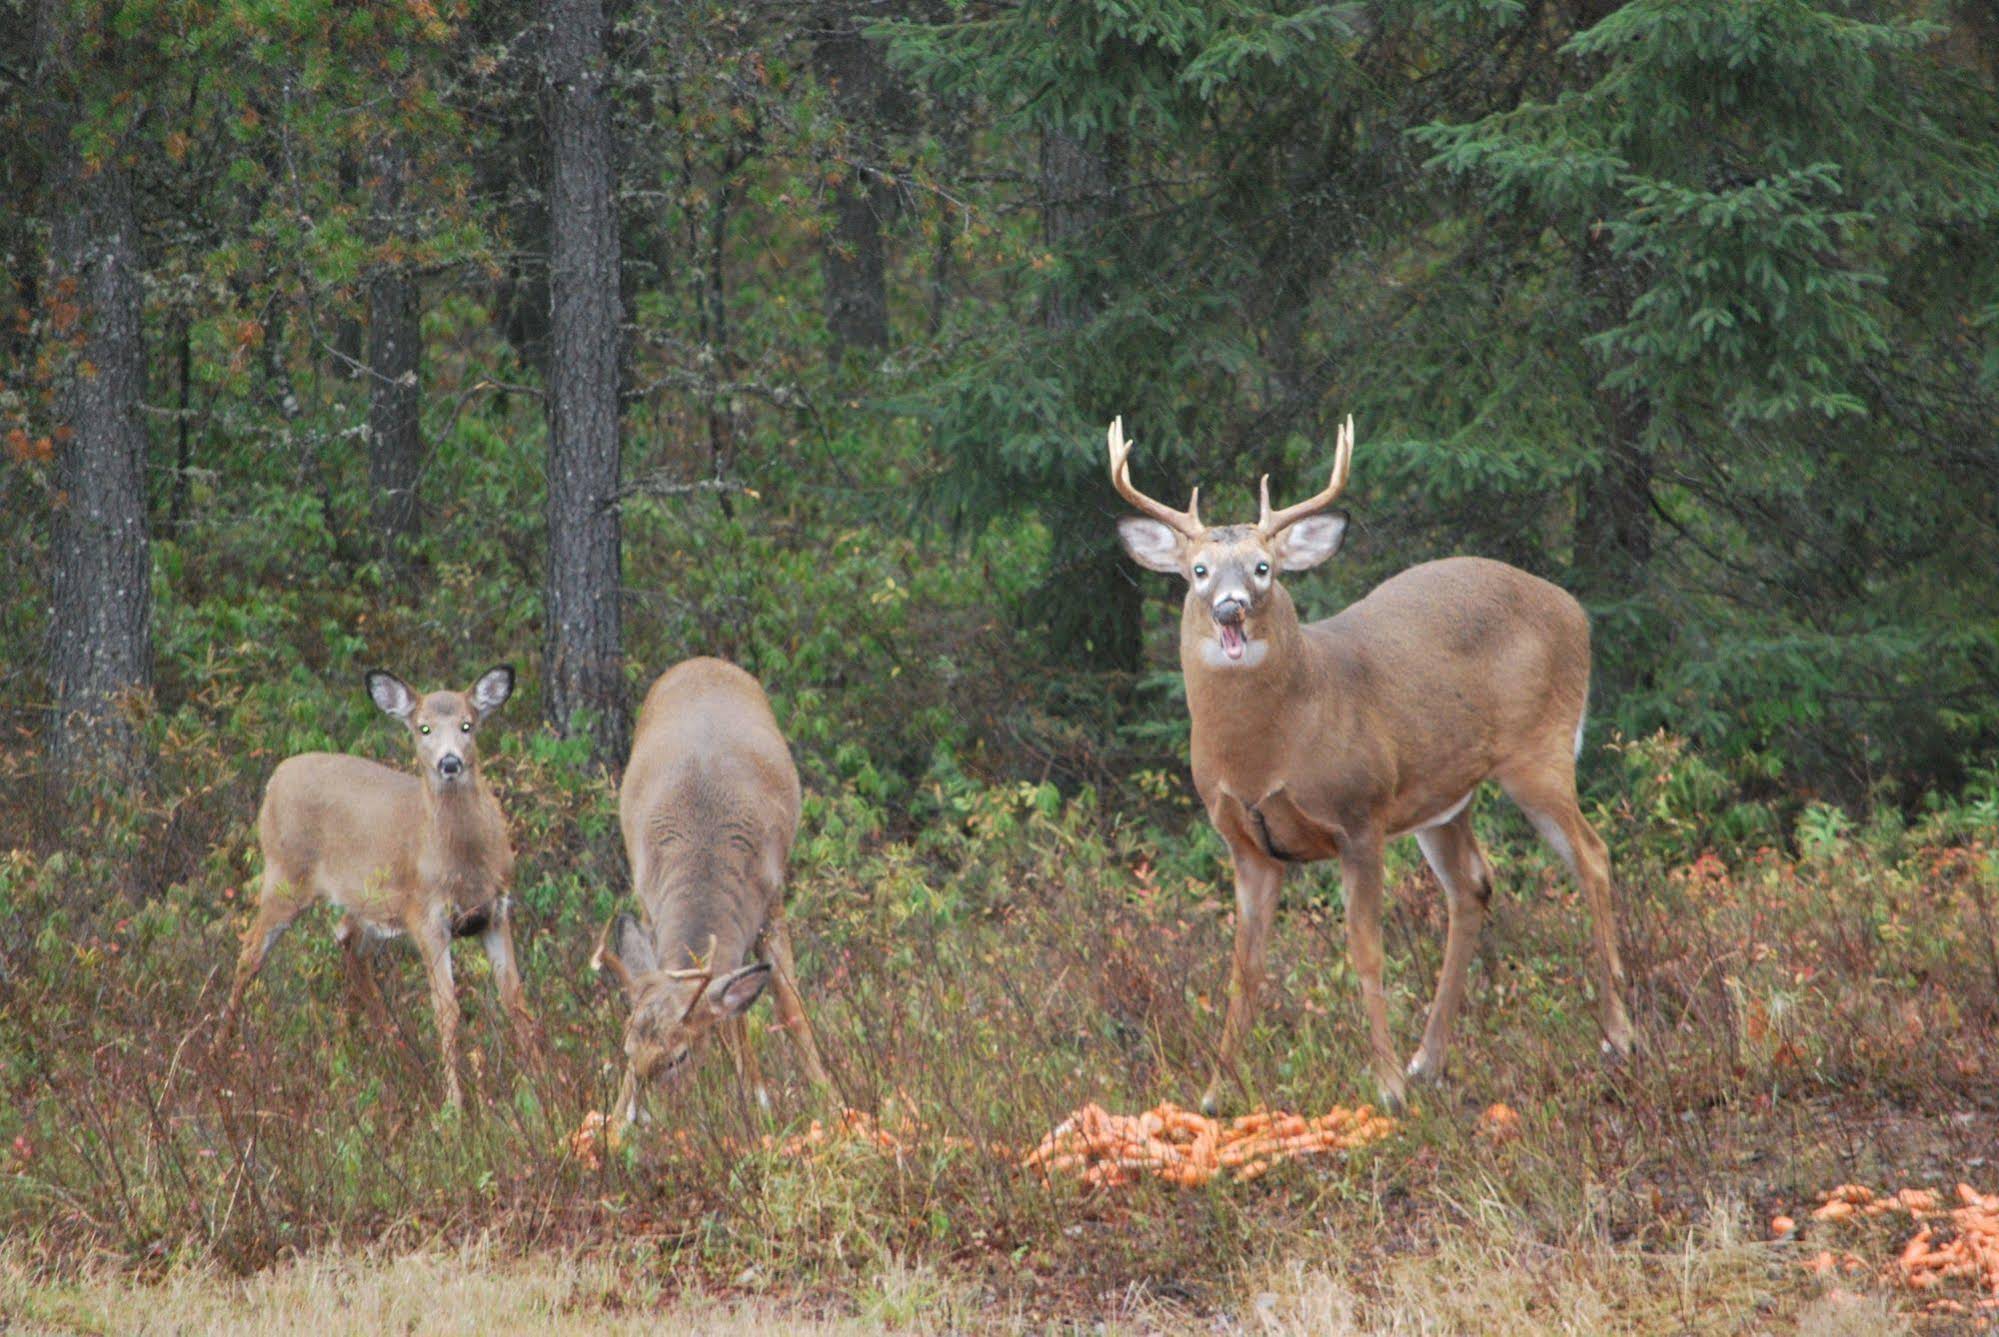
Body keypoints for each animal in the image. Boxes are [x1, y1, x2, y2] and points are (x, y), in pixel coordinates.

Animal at [212, 659, 531, 1103]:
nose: (449, 763)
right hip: (284, 876)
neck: (465, 866)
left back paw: (394, 1058)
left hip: (368, 908)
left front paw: (543, 1084)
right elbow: (446, 1010)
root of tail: (276, 776)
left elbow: (516, 1000)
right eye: (423, 728)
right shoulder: (426, 914)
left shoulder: (497, 911)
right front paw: (455, 1103)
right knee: (248, 955)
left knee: (348, 947)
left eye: (468, 725)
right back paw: (216, 1056)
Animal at [599, 655, 835, 1127]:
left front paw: (820, 1099)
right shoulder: (648, 901)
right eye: (628, 1051)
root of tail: (702, 661)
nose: (643, 1119)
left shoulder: (771, 899)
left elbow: (790, 1006)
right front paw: (612, 1125)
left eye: (679, 1057)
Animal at [1111, 413, 1639, 1103]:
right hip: (1443, 798)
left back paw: (1618, 1036)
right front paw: (1216, 1092)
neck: (1270, 748)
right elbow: (1242, 970)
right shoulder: (1246, 846)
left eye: (1263, 567)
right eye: (1198, 571)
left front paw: (1385, 1086)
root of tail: (1574, 608)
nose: (1231, 607)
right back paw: (1429, 1060)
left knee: (1593, 857)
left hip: (1539, 752)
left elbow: (1366, 951)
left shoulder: (1359, 815)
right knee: (1473, 886)